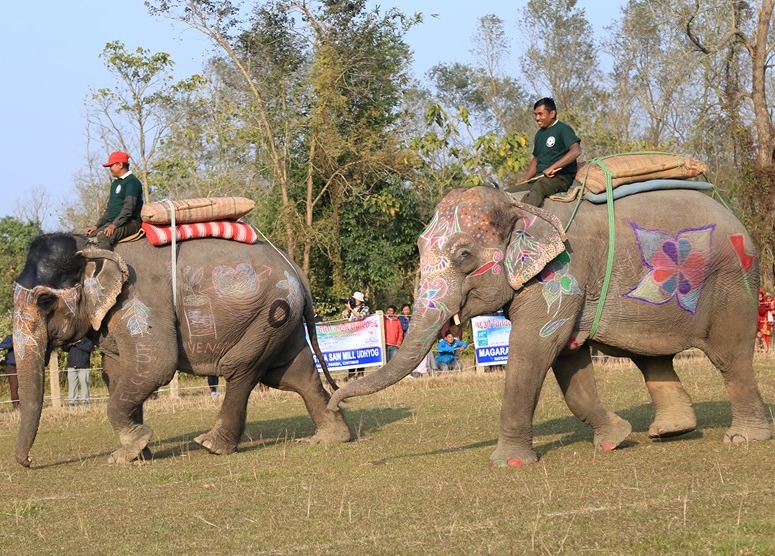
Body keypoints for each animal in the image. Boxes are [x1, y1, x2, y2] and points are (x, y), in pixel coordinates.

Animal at [13, 232, 352, 466]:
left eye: (45, 301)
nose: (28, 462)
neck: (91, 244)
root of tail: (293, 267)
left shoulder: (140, 300)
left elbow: (155, 366)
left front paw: (129, 450)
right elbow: (118, 374)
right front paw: (136, 453)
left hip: (268, 314)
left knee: (241, 368)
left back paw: (212, 445)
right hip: (281, 323)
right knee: (294, 374)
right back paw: (330, 438)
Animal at [330, 186, 772, 464]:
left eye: (464, 255)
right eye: (420, 247)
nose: (337, 405)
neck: (520, 205)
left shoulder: (562, 275)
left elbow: (533, 350)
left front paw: (509, 463)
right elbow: (568, 361)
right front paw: (615, 438)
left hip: (733, 284)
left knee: (730, 359)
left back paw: (743, 438)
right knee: (652, 357)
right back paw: (669, 432)